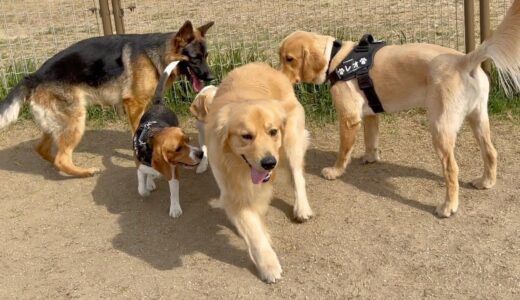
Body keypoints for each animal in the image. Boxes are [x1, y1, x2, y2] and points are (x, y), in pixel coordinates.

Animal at [0, 20, 213, 178]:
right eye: (195, 58)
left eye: (206, 56)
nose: (210, 77)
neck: (154, 54)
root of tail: (34, 76)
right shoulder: (134, 105)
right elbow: (137, 133)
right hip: (76, 121)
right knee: (62, 157)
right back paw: (84, 172)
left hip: (55, 125)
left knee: (43, 149)